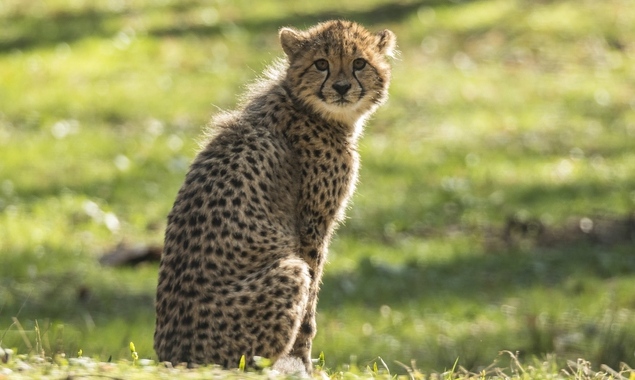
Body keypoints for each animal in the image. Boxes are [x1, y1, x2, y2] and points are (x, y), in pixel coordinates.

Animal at [154, 19, 396, 372]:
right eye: (321, 64)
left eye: (359, 63)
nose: (340, 88)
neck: (307, 107)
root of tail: (170, 355)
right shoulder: (312, 226)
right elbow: (310, 303)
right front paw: (303, 362)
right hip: (288, 272)